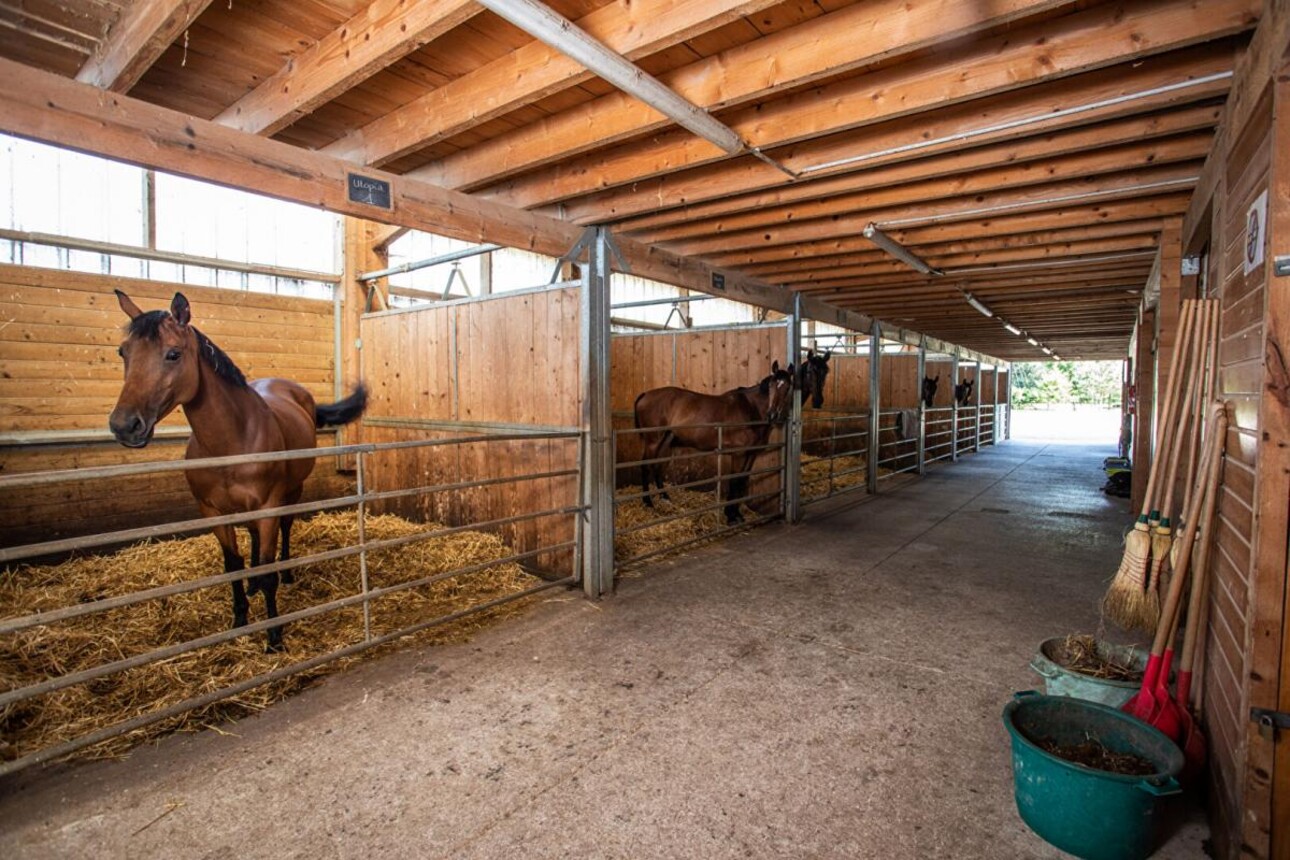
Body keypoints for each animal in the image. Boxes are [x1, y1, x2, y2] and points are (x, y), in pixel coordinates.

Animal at [109, 291, 368, 652]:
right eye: (124, 352)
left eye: (173, 354)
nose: (124, 426)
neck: (232, 441)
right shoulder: (213, 511)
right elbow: (233, 564)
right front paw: (240, 619)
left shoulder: (268, 506)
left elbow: (269, 569)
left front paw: (274, 637)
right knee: (256, 542)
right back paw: (252, 586)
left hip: (292, 492)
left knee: (284, 530)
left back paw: (286, 574)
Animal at [629, 361, 789, 526]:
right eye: (771, 385)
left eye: (788, 387)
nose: (773, 414)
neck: (750, 409)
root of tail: (645, 395)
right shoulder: (739, 454)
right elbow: (734, 480)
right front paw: (731, 516)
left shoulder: (751, 454)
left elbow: (742, 481)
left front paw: (737, 514)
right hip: (653, 441)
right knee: (645, 466)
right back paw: (648, 502)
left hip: (665, 441)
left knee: (656, 466)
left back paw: (665, 498)